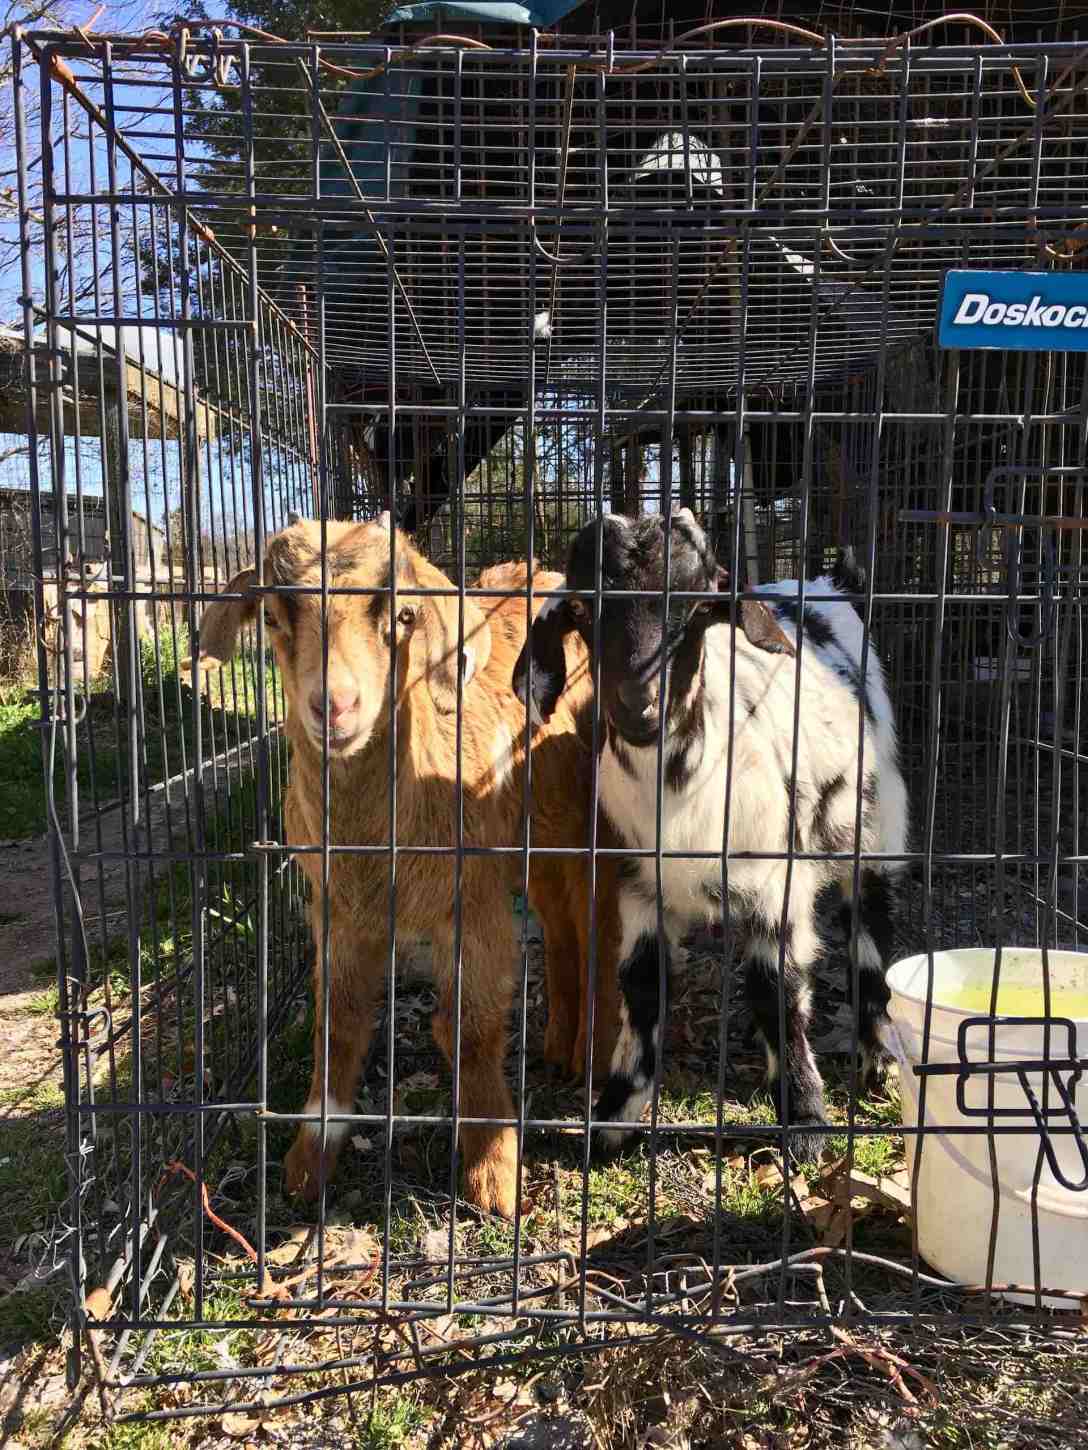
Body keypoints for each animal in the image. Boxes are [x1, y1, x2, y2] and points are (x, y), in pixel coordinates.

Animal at [197, 517, 619, 1216]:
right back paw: (559, 1044)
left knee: (599, 928)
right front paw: (309, 1159)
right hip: (535, 838)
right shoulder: (337, 911)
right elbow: (337, 1024)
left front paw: (493, 1173)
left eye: (402, 615)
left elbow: (474, 1028)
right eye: (275, 618)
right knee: (561, 928)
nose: (335, 705)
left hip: (590, 822)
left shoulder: (473, 901)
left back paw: (593, 1053)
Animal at [513, 509, 908, 1159]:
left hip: (874, 825)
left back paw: (876, 1059)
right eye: (583, 611)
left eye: (698, 609)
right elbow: (642, 988)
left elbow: (777, 990)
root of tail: (831, 583)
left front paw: (805, 1121)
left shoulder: (777, 886)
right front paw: (614, 1115)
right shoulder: (638, 885)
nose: (638, 706)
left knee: (869, 933)